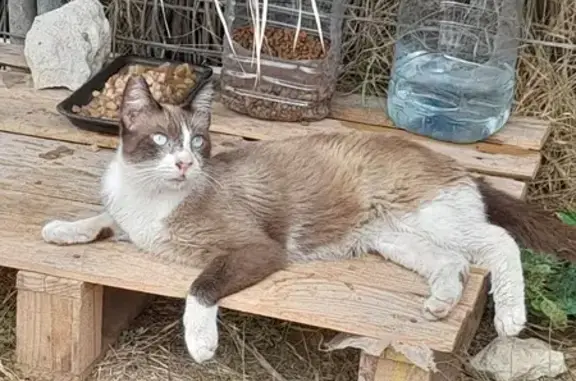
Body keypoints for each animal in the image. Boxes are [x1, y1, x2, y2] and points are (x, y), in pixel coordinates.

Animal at [42, 76, 576, 362]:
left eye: (197, 141)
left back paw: (510, 317)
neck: (150, 195)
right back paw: (441, 304)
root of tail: (452, 163)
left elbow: (200, 287)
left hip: (434, 218)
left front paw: (200, 343)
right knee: (454, 263)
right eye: (159, 141)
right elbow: (101, 218)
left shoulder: (254, 250)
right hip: (395, 239)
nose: (185, 164)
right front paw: (61, 230)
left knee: (498, 240)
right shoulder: (128, 219)